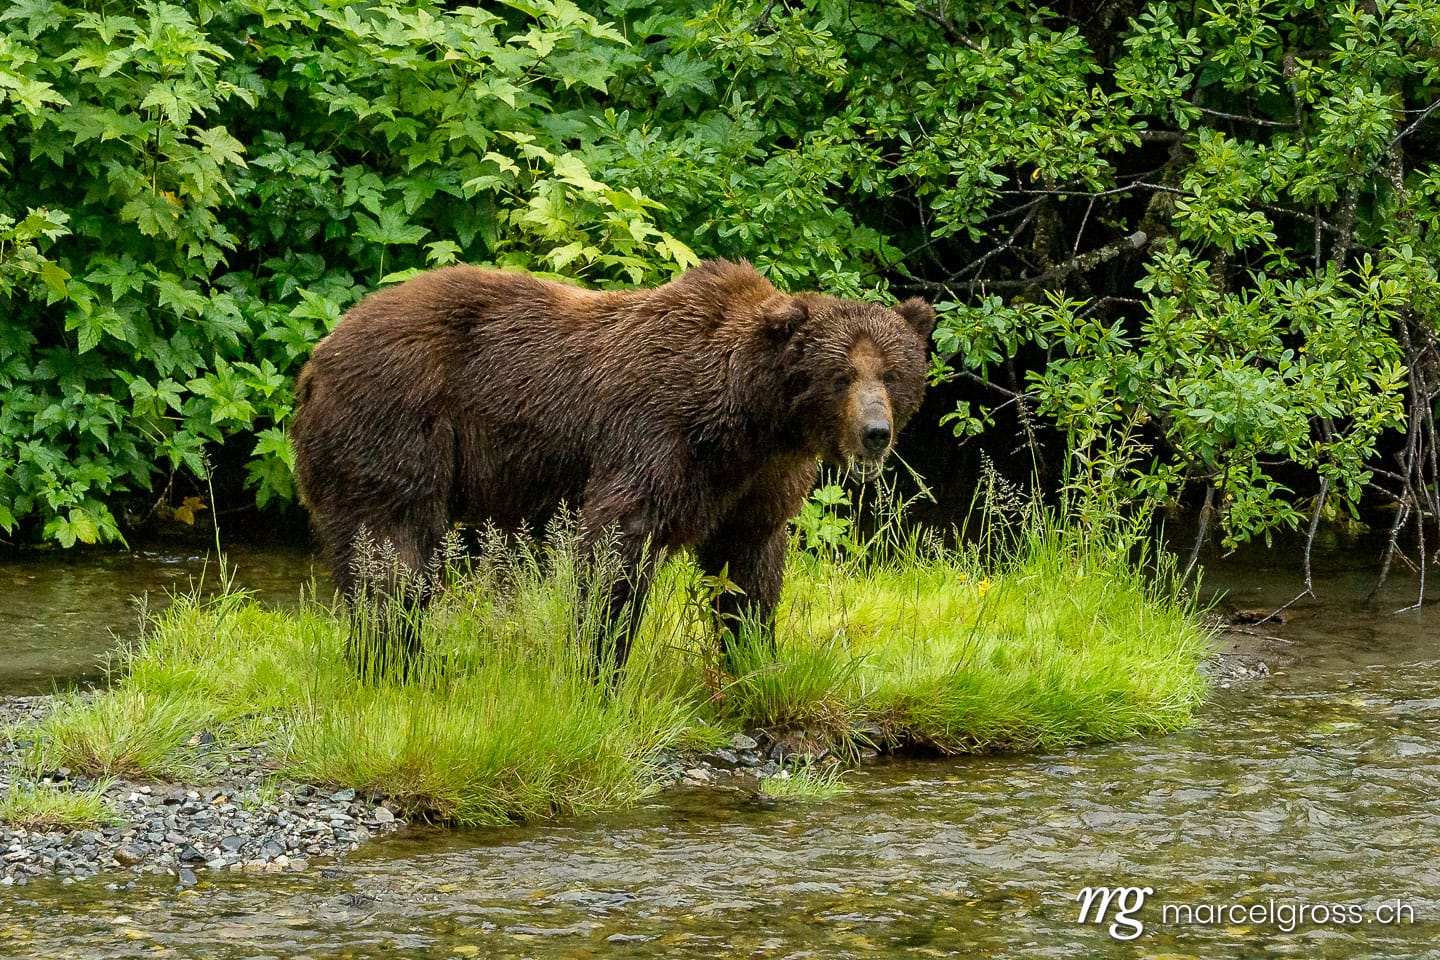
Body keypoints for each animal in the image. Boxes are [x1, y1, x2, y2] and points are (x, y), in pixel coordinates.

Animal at [290, 259, 934, 674]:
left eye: (892, 373)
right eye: (842, 375)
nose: (876, 433)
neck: (748, 418)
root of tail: (318, 355)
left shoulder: (759, 479)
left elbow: (750, 562)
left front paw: (755, 655)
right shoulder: (655, 434)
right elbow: (616, 548)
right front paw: (600, 665)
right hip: (397, 422)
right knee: (392, 549)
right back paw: (391, 655)